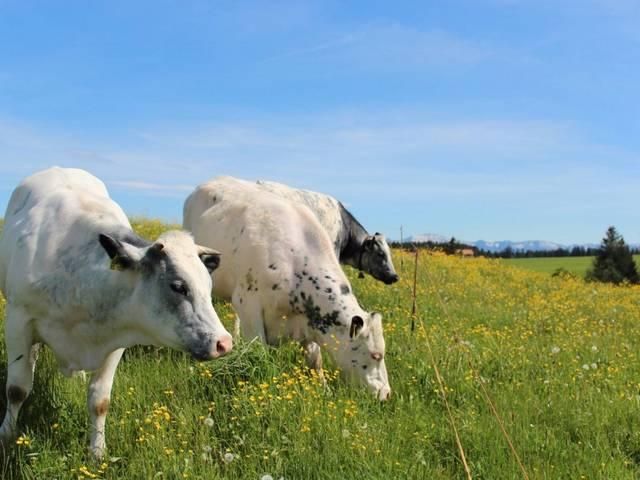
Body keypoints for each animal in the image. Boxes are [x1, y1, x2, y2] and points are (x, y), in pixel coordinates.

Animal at [0, 168, 232, 458]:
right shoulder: (18, 321)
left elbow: (100, 400)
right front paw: (6, 434)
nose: (224, 342)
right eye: (178, 286)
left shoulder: (115, 339)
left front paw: (98, 452)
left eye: (208, 286)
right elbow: (17, 389)